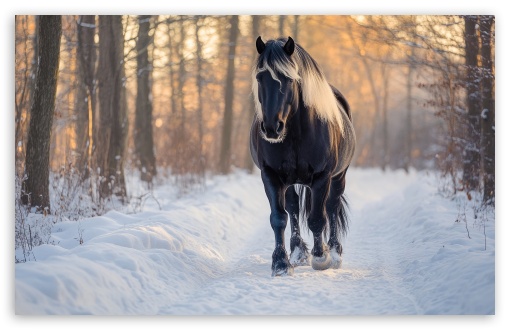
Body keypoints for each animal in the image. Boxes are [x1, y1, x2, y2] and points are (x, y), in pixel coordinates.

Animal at [250, 36, 354, 276]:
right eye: (260, 77)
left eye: (289, 79)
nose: (272, 128)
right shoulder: (270, 176)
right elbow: (279, 218)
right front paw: (280, 263)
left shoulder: (323, 176)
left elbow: (317, 218)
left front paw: (321, 258)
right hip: (289, 182)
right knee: (294, 208)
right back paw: (298, 253)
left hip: (339, 176)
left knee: (332, 207)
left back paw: (334, 252)